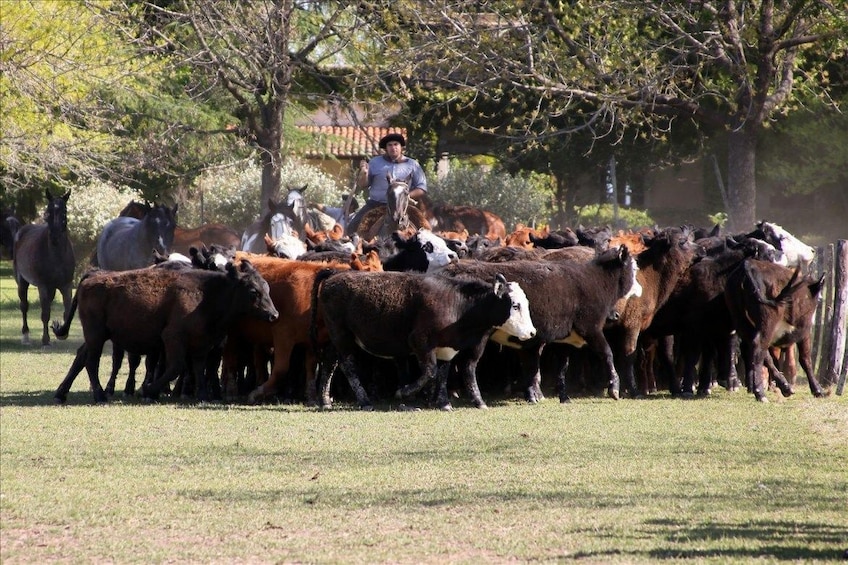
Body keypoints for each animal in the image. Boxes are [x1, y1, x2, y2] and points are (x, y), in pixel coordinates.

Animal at [13, 189, 76, 346]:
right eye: (48, 211)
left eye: (64, 211)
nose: (54, 236)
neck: (57, 255)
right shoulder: (43, 286)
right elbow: (45, 313)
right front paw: (45, 340)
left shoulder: (66, 285)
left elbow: (67, 310)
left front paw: (62, 333)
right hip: (22, 282)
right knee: (24, 306)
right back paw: (26, 335)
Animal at [52, 262, 278, 404]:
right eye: (253, 291)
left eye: (267, 288)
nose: (274, 314)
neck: (206, 294)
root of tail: (92, 276)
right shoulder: (172, 337)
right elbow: (176, 367)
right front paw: (148, 390)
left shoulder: (201, 344)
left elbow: (199, 368)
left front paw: (203, 395)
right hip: (96, 335)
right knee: (91, 362)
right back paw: (99, 396)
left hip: (96, 336)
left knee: (80, 357)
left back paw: (60, 394)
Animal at [314, 270, 532, 410]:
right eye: (515, 305)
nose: (531, 332)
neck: (459, 306)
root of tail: (334, 276)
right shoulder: (420, 342)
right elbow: (431, 371)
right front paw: (404, 393)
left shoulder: (449, 347)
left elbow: (451, 372)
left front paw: (448, 403)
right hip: (342, 336)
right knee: (348, 365)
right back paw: (365, 401)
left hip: (337, 339)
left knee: (329, 362)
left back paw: (325, 401)